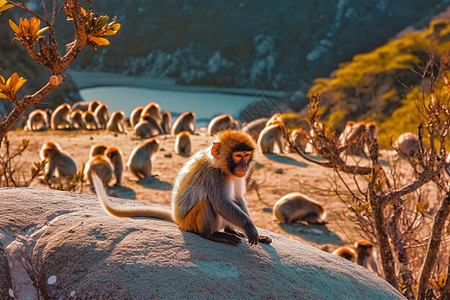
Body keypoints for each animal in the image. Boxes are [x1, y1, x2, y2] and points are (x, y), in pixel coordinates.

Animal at [93, 131, 272, 246]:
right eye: (238, 155)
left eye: (246, 155)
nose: (243, 166)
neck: (223, 168)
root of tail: (177, 219)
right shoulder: (214, 175)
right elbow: (221, 203)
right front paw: (249, 228)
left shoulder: (237, 176)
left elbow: (237, 198)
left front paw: (255, 232)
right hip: (190, 222)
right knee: (207, 203)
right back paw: (213, 235)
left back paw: (230, 230)